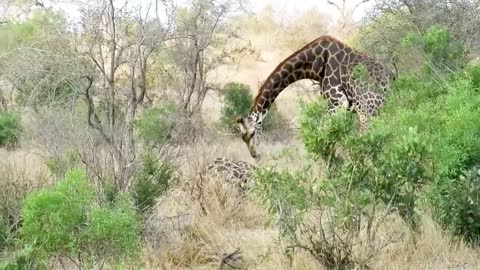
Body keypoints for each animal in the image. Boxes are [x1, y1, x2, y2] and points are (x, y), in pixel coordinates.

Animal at [234, 34, 396, 159]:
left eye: (253, 133)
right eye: (243, 137)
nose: (254, 155)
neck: (314, 64)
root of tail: (390, 87)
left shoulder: (338, 102)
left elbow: (326, 137)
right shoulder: (345, 108)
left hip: (366, 113)